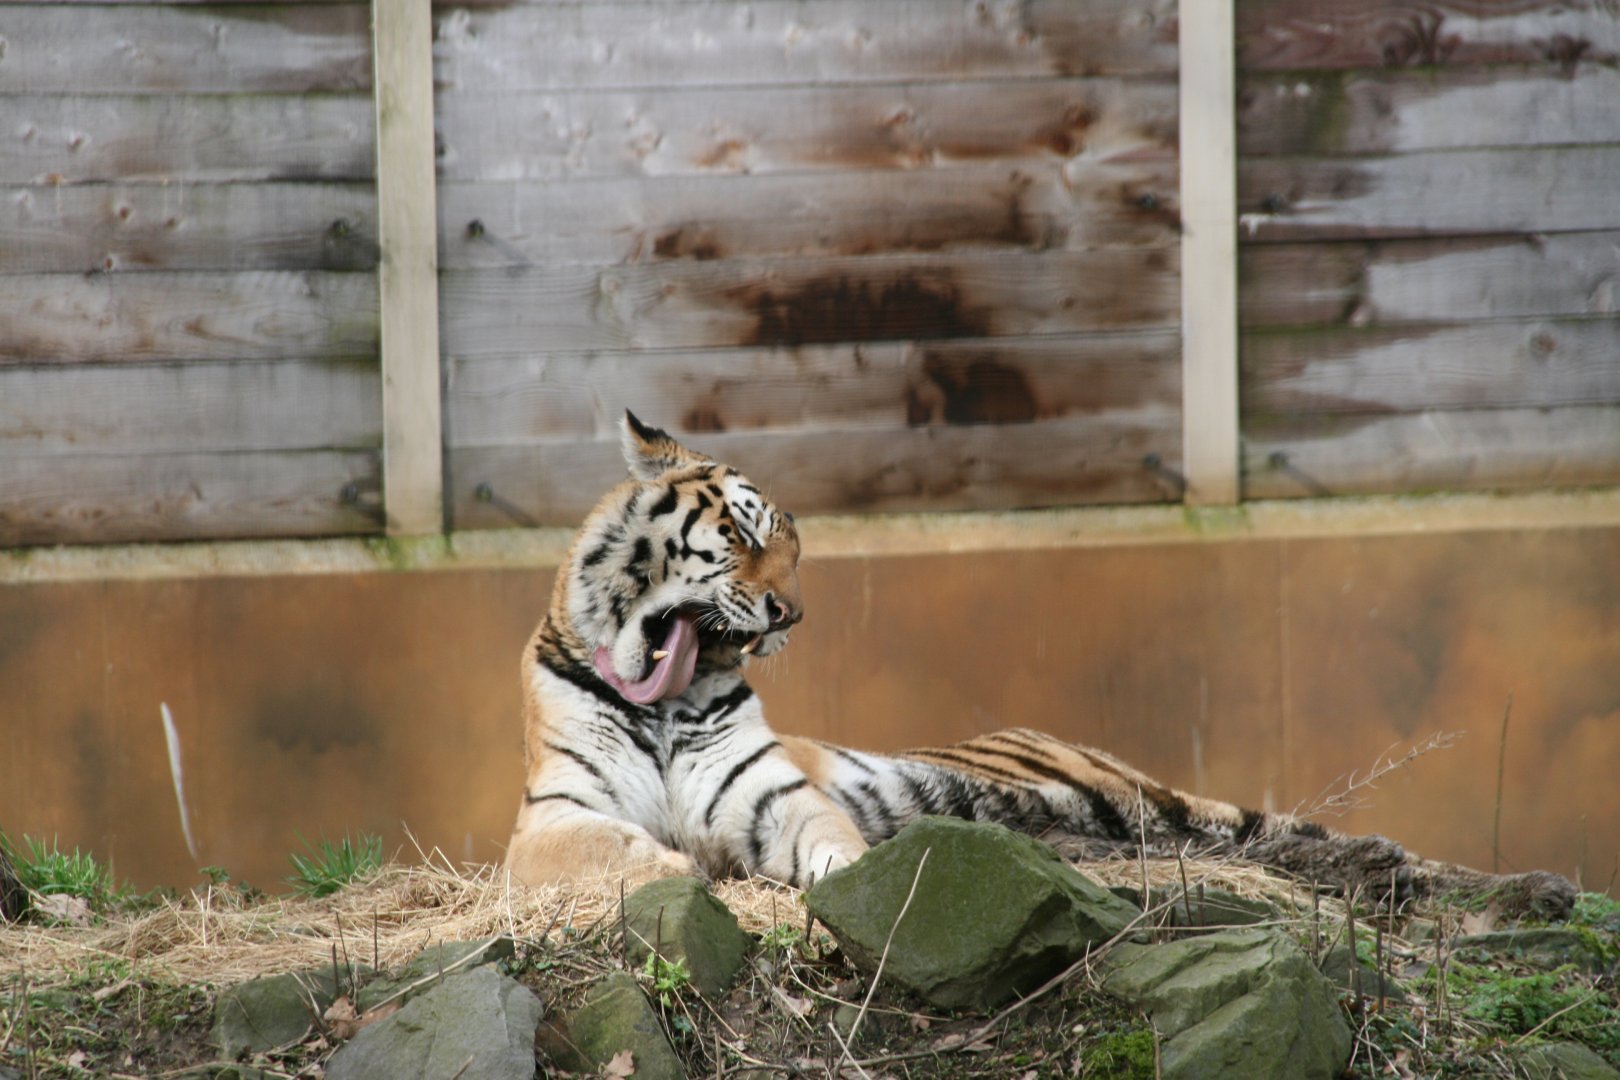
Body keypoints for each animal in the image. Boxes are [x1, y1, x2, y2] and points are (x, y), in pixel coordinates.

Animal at [504, 412, 1577, 919]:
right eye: (743, 534)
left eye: (794, 551)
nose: (792, 613)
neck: (666, 701)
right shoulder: (551, 820)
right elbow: (604, 850)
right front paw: (671, 868)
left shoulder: (773, 798)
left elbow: (832, 841)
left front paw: (844, 880)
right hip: (1113, 827)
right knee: (1288, 856)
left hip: (1135, 796)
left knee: (1305, 838)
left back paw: (1534, 889)